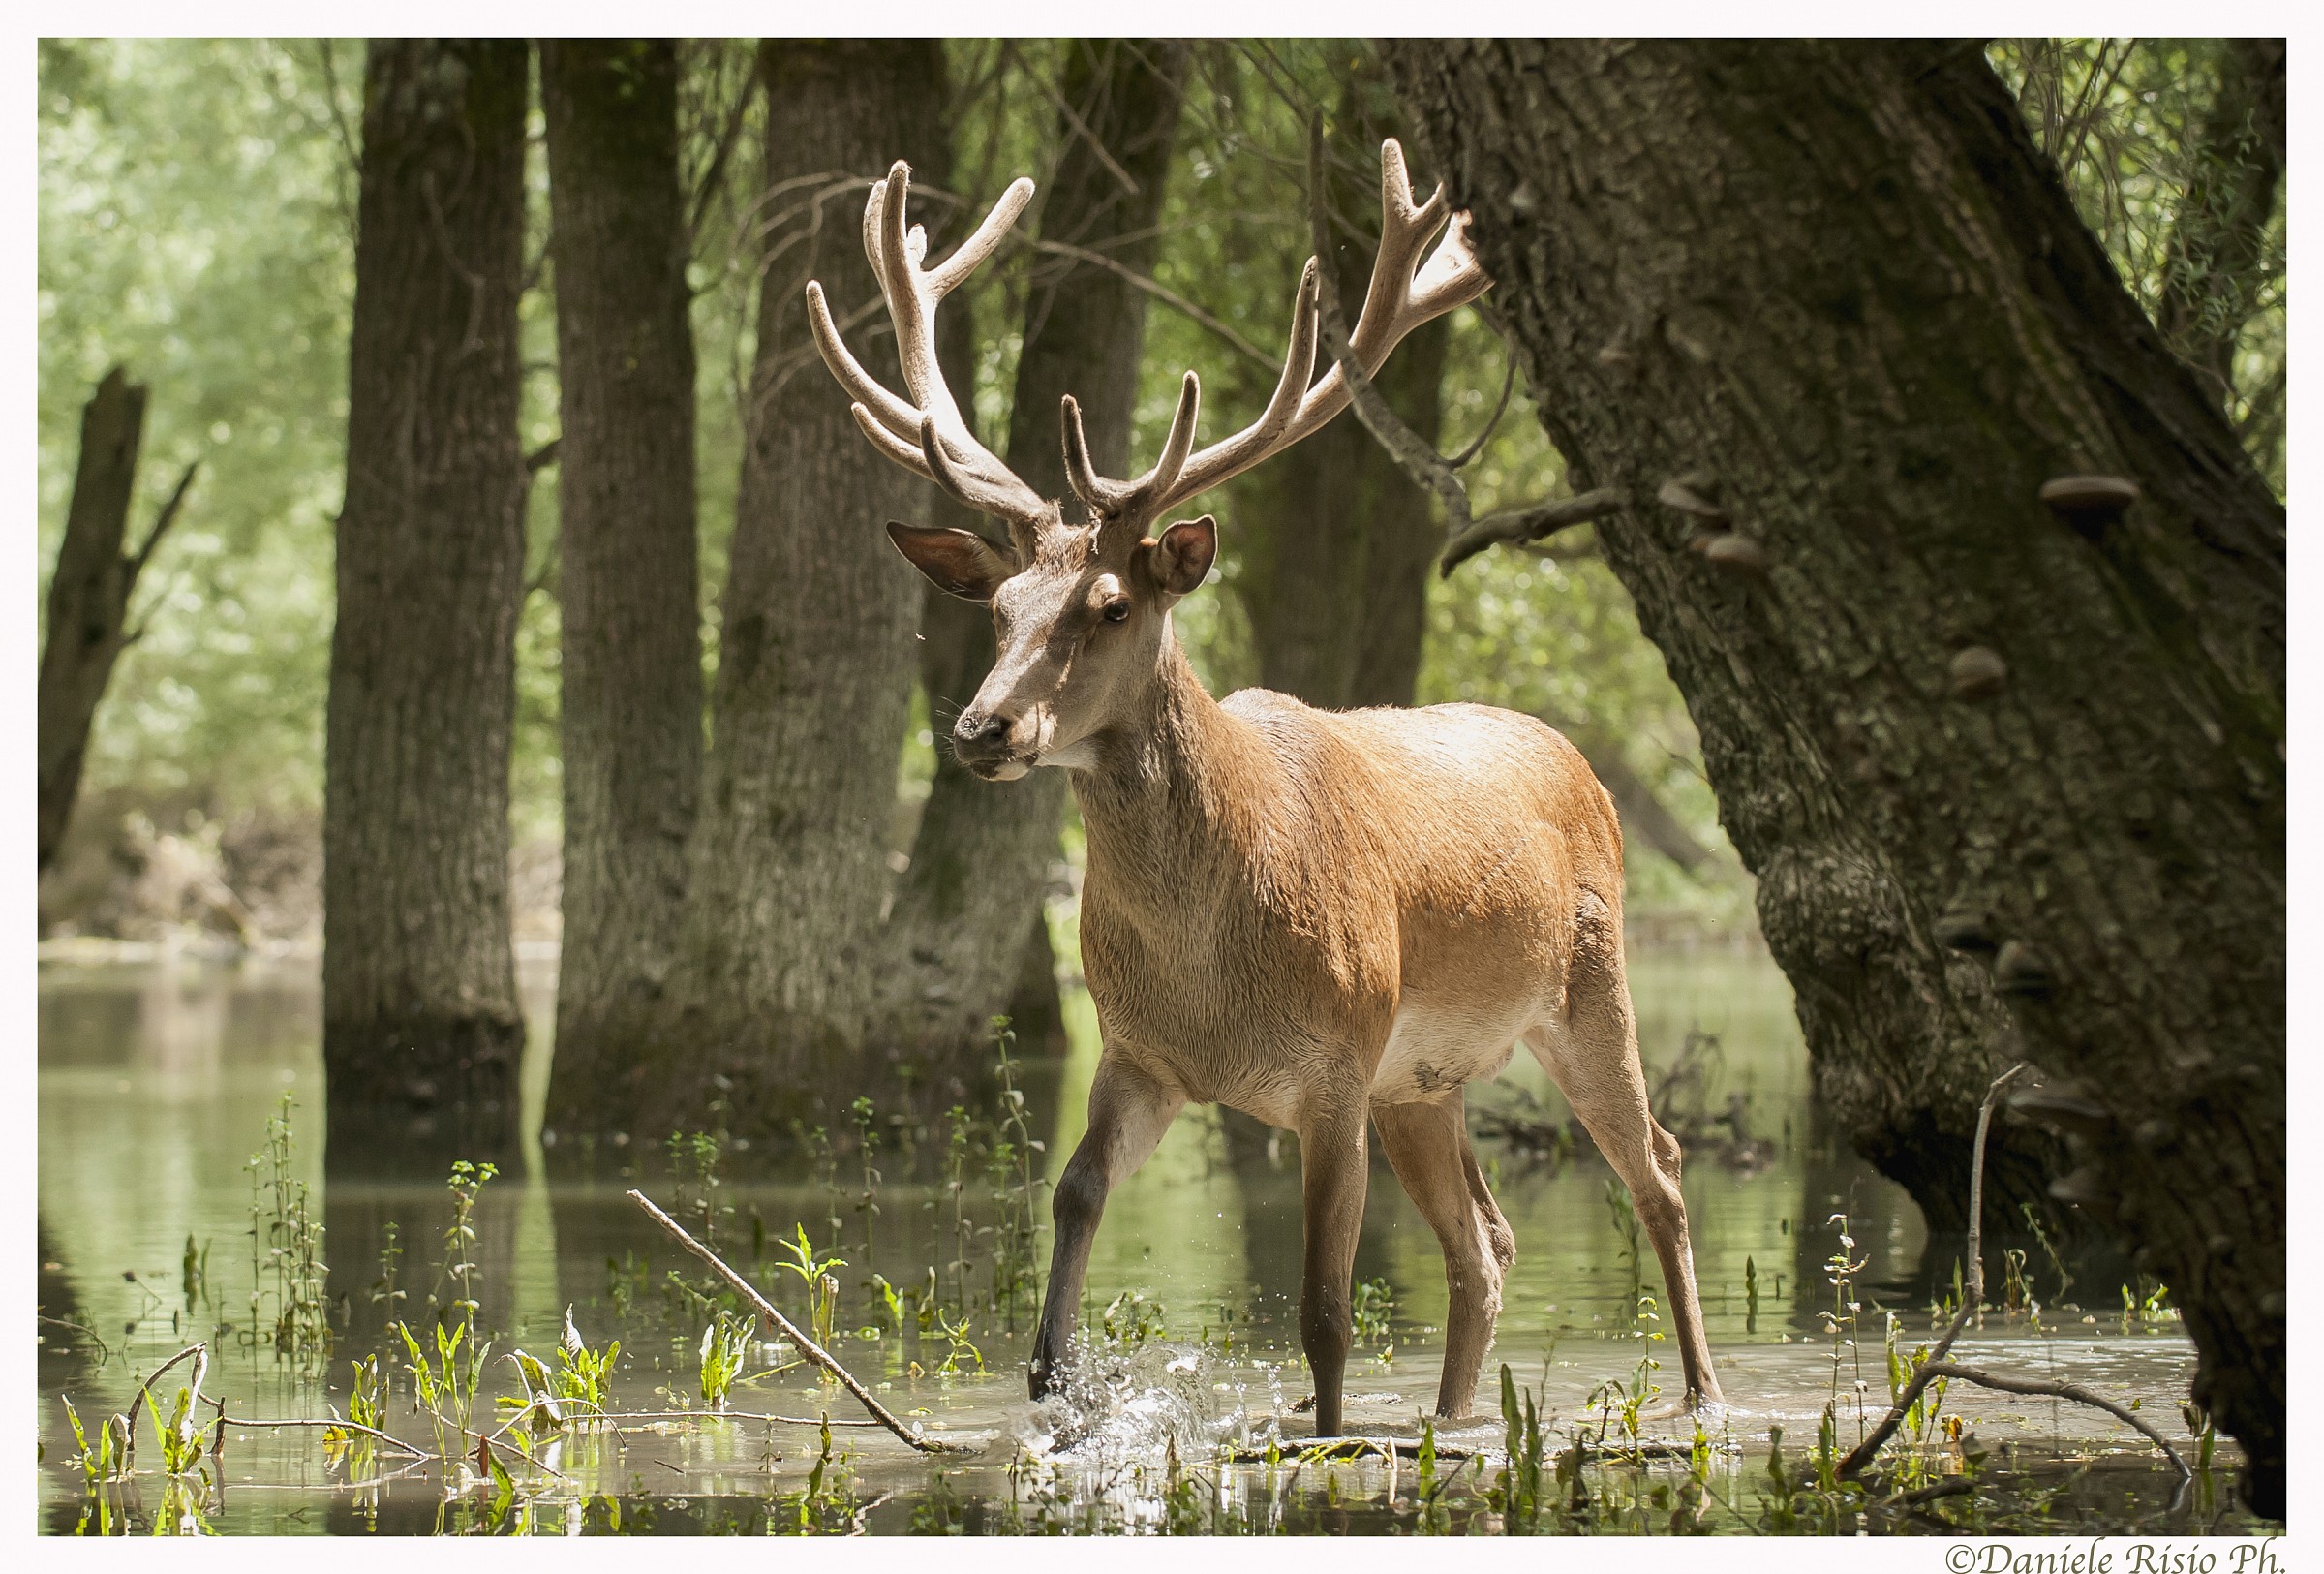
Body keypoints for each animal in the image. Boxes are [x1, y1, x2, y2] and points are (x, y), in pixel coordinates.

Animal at [803, 141, 1723, 1437]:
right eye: (998, 607)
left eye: (1110, 605)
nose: (984, 727)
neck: (1212, 970)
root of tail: (1577, 756)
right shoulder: (1140, 1052)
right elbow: (1071, 1197)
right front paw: (1057, 1385)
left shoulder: (1336, 1064)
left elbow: (1325, 1309)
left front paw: (1327, 1430)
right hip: (1425, 1080)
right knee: (1486, 1242)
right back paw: (1455, 1414)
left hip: (1587, 988)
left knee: (1663, 1166)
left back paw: (1701, 1392)